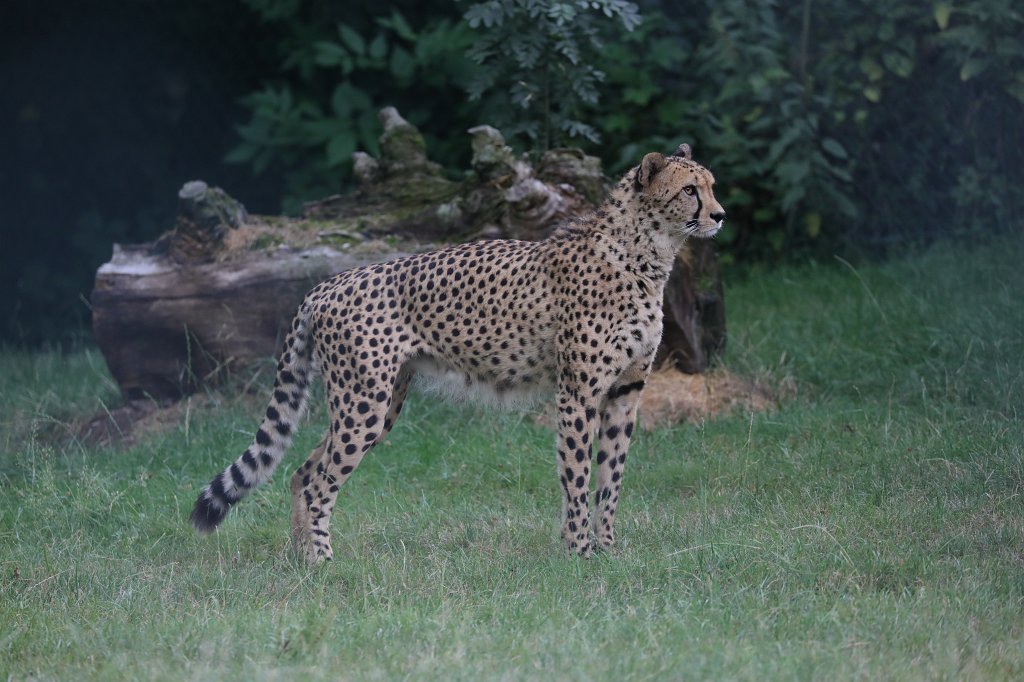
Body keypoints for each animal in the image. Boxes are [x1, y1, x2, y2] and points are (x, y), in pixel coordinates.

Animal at [191, 143, 725, 562]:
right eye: (689, 190)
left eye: (713, 186)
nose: (720, 215)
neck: (646, 255)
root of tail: (328, 283)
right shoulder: (578, 394)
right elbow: (576, 475)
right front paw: (579, 552)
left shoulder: (625, 392)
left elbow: (611, 477)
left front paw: (609, 551)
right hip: (363, 403)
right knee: (320, 481)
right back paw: (322, 563)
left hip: (379, 404)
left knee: (302, 472)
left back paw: (302, 559)